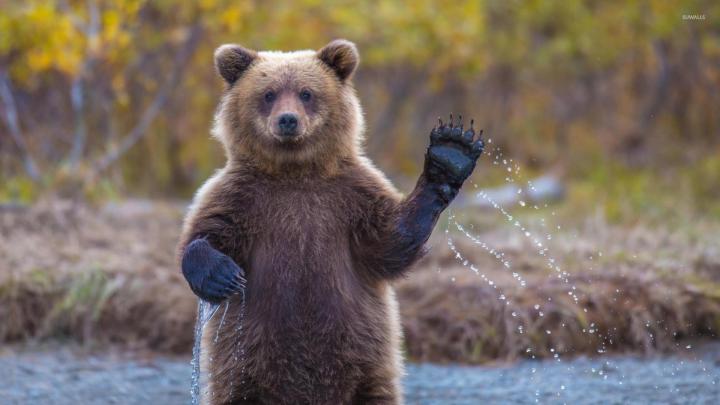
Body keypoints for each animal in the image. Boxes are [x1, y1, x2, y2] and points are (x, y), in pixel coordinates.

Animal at [178, 39, 484, 404]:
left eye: (306, 93)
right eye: (268, 93)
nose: (288, 120)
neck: (295, 171)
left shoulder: (350, 197)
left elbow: (390, 242)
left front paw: (451, 152)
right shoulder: (242, 197)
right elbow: (206, 232)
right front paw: (221, 276)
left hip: (367, 367)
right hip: (244, 370)